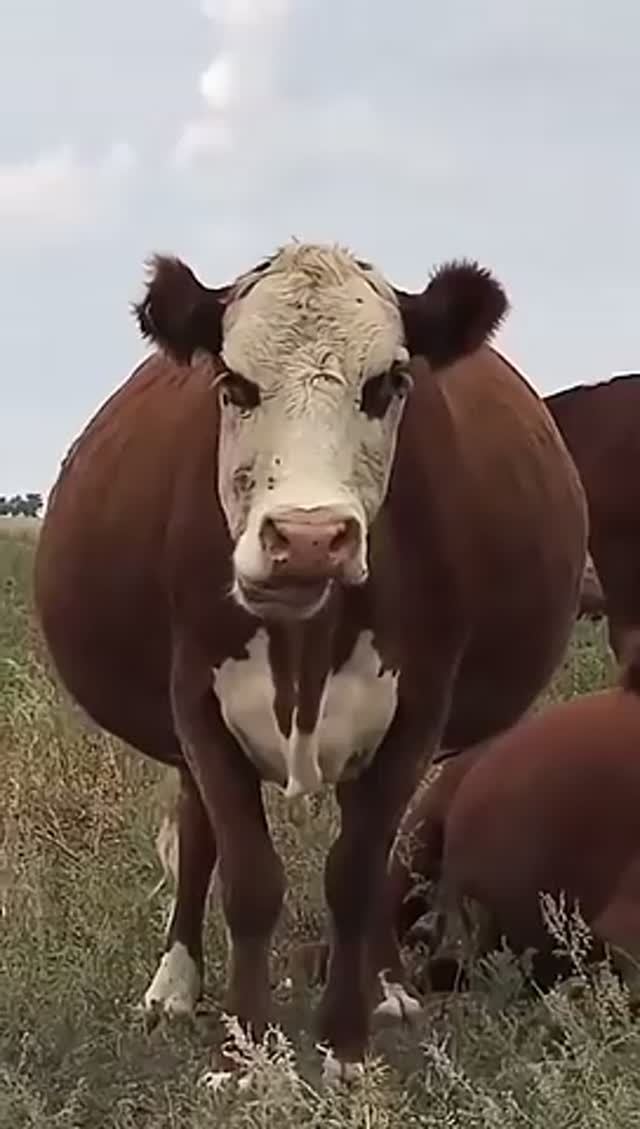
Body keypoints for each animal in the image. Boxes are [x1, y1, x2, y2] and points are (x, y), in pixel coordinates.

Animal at [33, 241, 588, 1082]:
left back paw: (388, 986)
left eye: (388, 383)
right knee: (197, 837)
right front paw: (245, 1051)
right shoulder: (197, 702)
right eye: (234, 384)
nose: (307, 537)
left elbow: (354, 873)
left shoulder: (417, 710)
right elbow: (247, 876)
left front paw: (346, 1045)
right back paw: (175, 985)